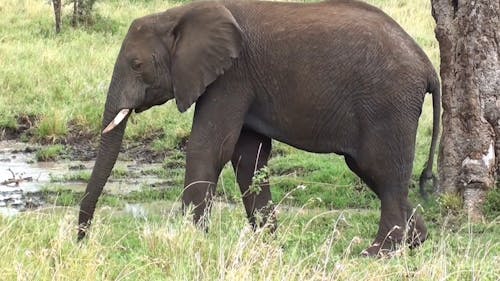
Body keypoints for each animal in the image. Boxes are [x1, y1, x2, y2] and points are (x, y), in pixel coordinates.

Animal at [76, 0, 440, 256]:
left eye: (137, 65)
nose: (81, 241)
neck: (178, 13)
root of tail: (427, 66)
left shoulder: (231, 76)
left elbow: (209, 148)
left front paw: (190, 241)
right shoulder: (242, 83)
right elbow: (248, 159)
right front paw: (269, 245)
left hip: (388, 103)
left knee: (383, 172)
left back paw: (376, 254)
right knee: (372, 171)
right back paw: (415, 241)